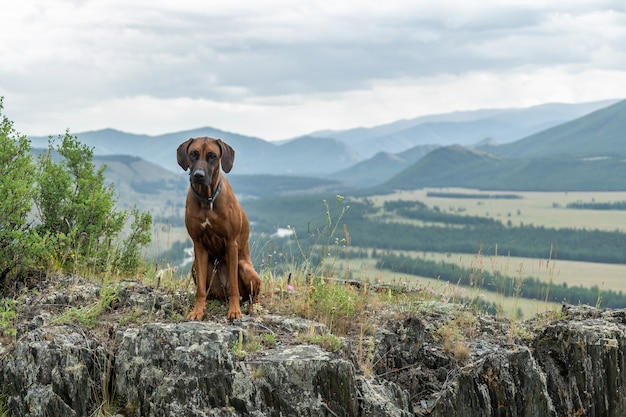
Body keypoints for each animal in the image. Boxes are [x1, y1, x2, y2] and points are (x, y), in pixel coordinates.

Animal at [177, 136, 260, 318]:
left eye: (212, 155)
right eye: (193, 153)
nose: (198, 176)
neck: (207, 200)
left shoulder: (231, 243)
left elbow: (234, 287)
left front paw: (234, 311)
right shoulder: (198, 244)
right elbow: (200, 289)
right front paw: (197, 310)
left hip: (245, 268)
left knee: (252, 296)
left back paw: (252, 308)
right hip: (195, 267)